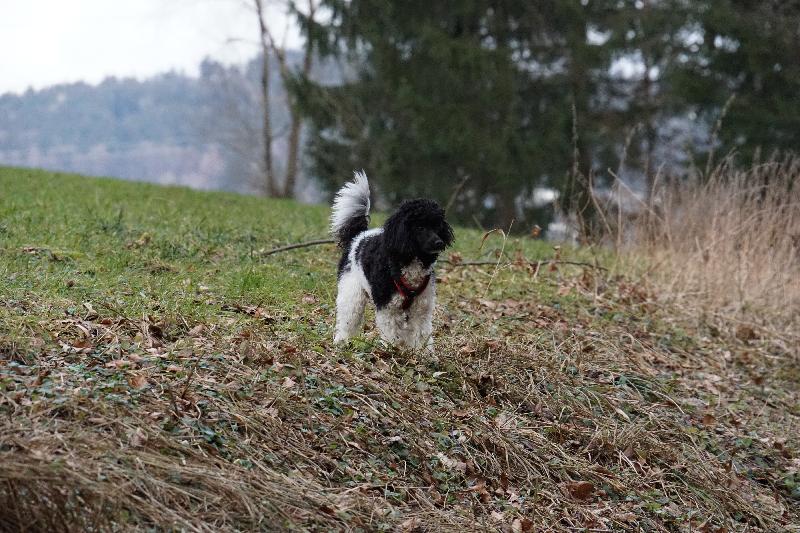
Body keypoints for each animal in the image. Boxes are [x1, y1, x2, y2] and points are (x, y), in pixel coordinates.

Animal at [331, 171, 454, 349]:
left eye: (437, 225)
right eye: (419, 227)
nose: (439, 242)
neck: (409, 259)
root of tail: (358, 236)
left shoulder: (421, 309)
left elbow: (421, 334)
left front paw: (423, 354)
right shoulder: (389, 308)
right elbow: (392, 333)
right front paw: (393, 351)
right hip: (352, 292)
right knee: (348, 318)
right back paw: (342, 341)